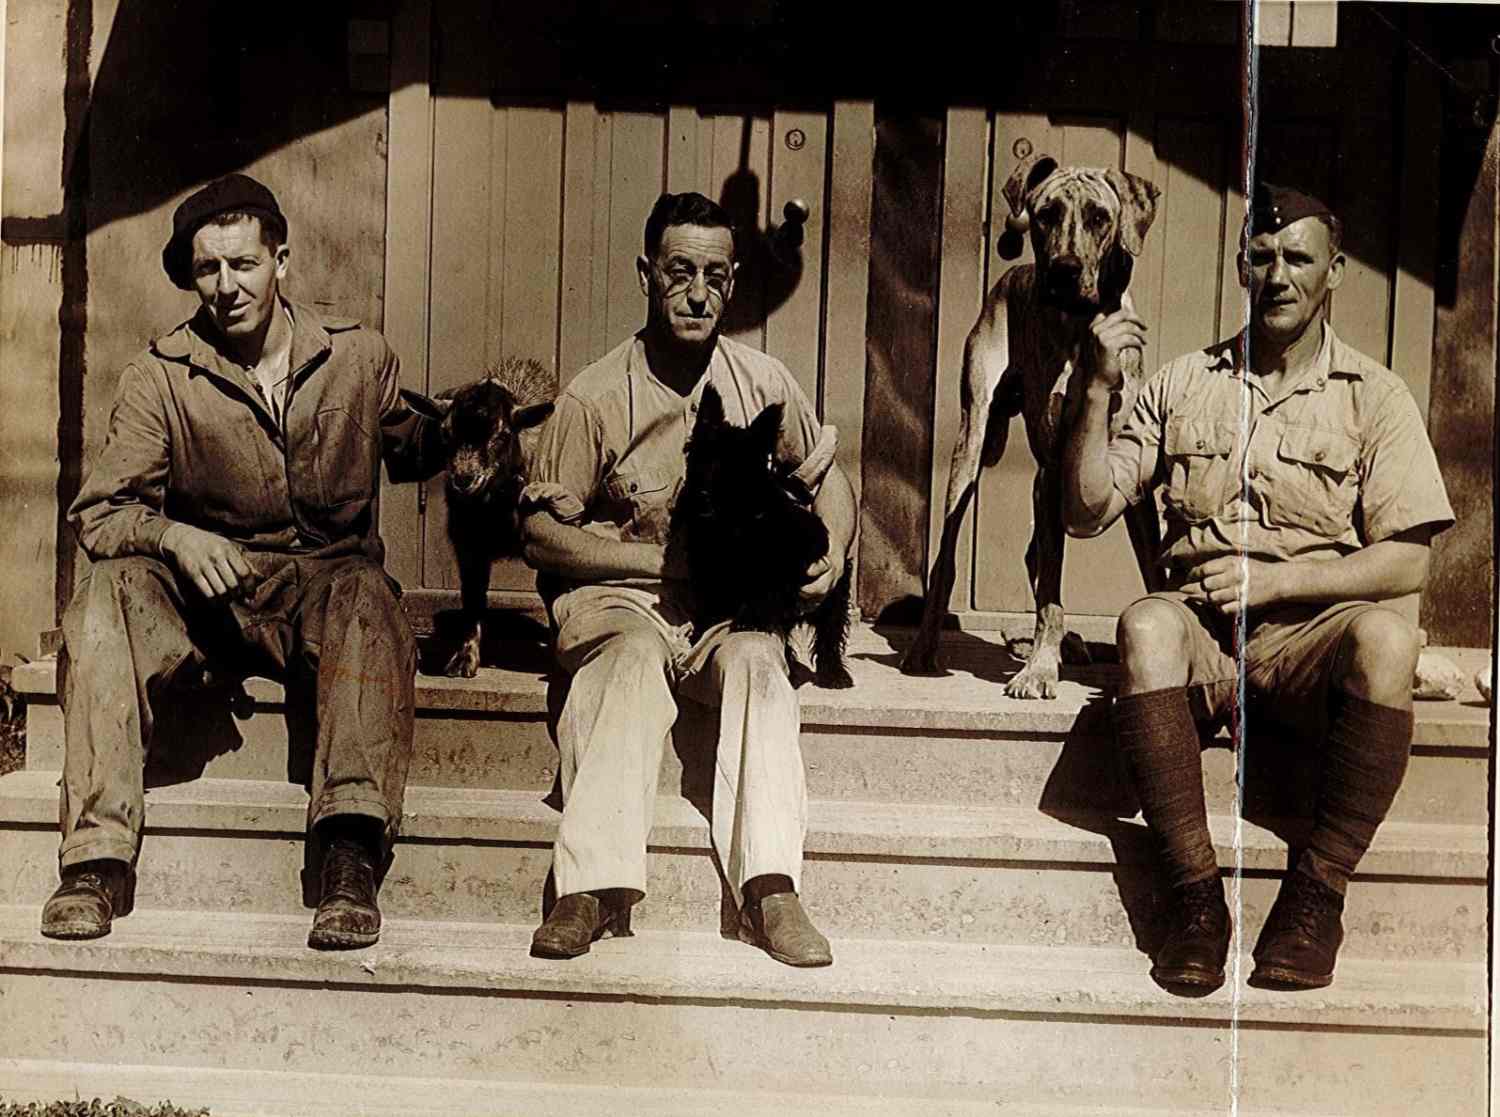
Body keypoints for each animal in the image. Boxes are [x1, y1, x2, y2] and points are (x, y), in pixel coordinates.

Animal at [405, 352, 558, 674]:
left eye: (502, 434)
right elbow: (473, 598)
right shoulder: (468, 545)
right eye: (445, 433)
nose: (464, 479)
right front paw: (464, 659)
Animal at [672, 386, 852, 692]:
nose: (702, 498)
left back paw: (834, 673)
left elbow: (767, 591)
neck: (732, 522)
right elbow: (711, 601)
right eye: (700, 455)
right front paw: (703, 630)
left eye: (738, 466)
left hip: (834, 588)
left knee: (829, 628)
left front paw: (750, 618)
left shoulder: (784, 565)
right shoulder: (706, 568)